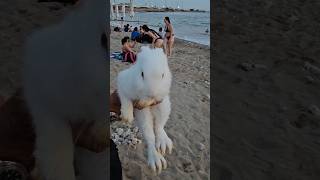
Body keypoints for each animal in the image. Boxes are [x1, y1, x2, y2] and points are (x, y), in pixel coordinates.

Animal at [117, 46, 172, 174]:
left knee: (159, 127)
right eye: (142, 74)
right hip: (143, 113)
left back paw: (163, 143)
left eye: (163, 75)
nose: (152, 94)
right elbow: (125, 98)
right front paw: (127, 116)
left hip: (164, 105)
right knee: (150, 136)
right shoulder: (122, 83)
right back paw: (156, 159)